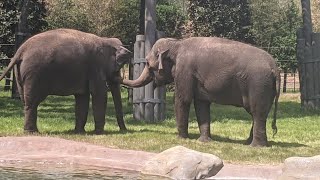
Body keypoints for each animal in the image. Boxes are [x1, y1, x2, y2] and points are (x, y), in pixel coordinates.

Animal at [0, 28, 131, 134]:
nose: (124, 131)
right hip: (33, 73)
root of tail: (20, 50)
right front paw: (98, 133)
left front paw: (80, 132)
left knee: (25, 100)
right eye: (118, 67)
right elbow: (99, 93)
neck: (105, 40)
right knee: (32, 101)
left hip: (20, 72)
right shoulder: (95, 65)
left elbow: (82, 97)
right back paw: (32, 132)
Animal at [122, 37, 280, 147]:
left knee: (257, 112)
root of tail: (275, 68)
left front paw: (181, 139)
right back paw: (250, 142)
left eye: (148, 64)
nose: (120, 77)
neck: (177, 44)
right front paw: (204, 141)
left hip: (259, 85)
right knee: (259, 113)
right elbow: (201, 104)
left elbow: (182, 100)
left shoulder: (184, 71)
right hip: (267, 88)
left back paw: (255, 146)